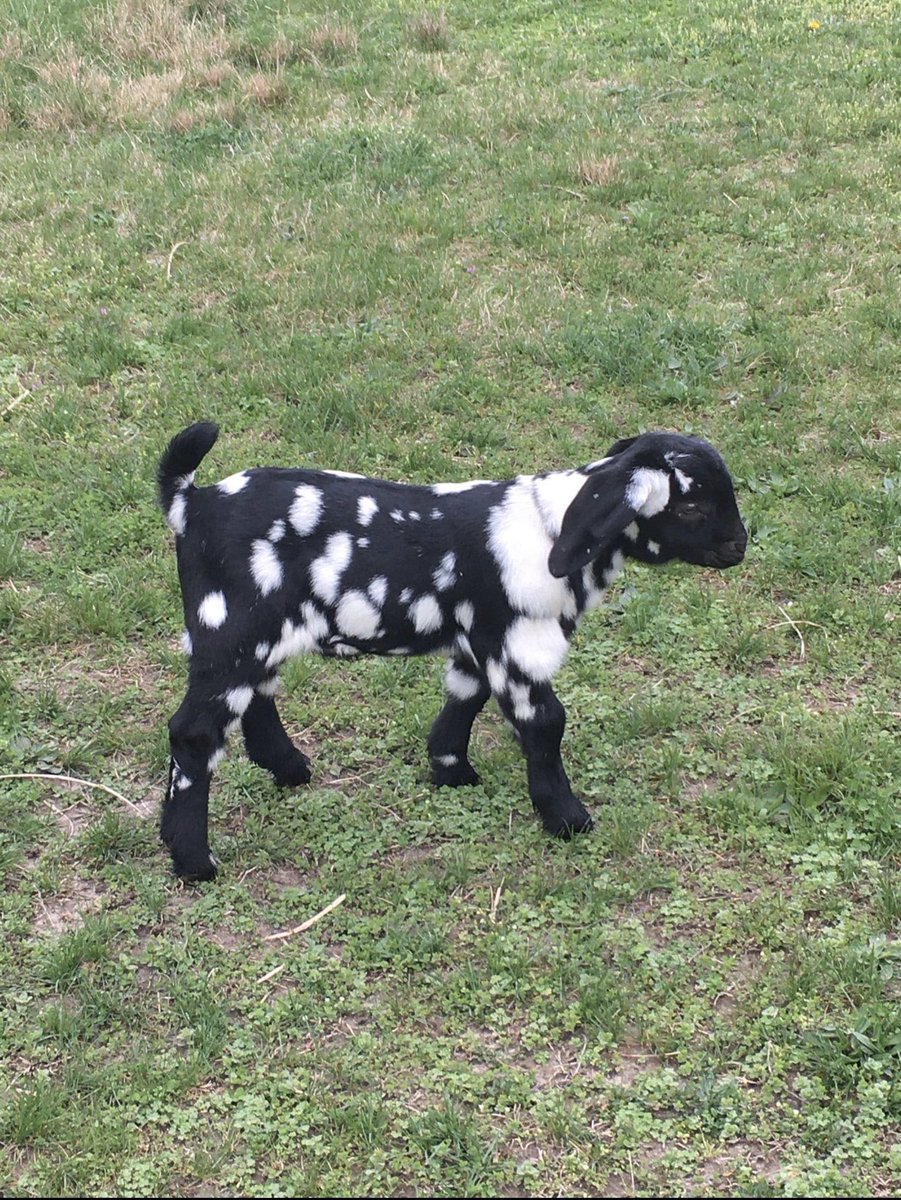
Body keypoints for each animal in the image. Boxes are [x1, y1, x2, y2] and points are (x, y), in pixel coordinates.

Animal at [157, 422, 747, 880]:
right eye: (694, 506)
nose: (740, 546)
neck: (552, 528)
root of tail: (192, 503)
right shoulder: (517, 645)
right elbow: (545, 723)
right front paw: (566, 817)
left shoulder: (480, 640)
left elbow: (466, 694)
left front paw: (450, 767)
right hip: (231, 629)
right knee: (195, 732)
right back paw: (193, 861)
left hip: (251, 635)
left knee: (256, 697)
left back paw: (287, 768)